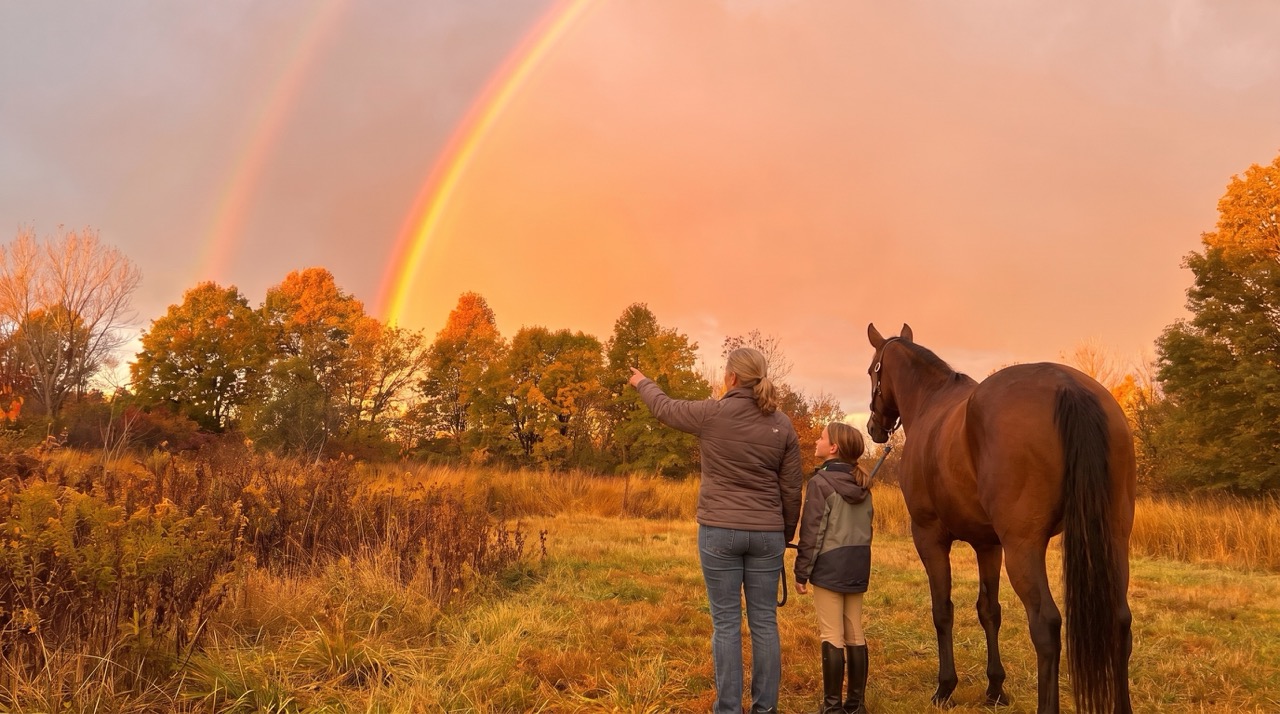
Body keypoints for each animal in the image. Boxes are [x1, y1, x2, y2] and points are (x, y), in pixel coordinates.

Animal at [865, 324, 1135, 714]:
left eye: (872, 371)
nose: (873, 427)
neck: (931, 404)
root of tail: (1069, 385)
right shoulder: (988, 545)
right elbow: (989, 610)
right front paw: (995, 688)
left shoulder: (929, 536)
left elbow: (942, 610)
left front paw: (945, 688)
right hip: (1113, 537)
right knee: (1120, 620)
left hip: (1024, 547)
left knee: (1046, 625)